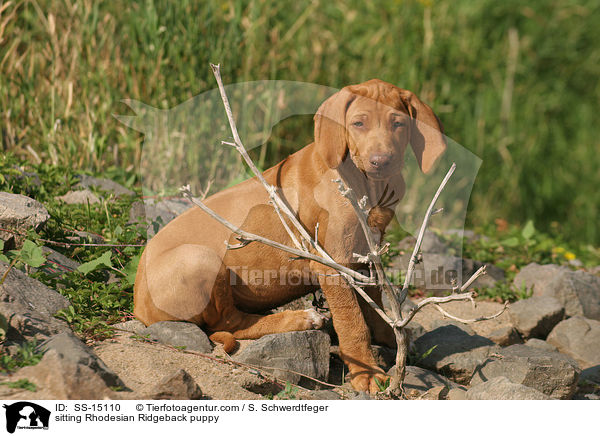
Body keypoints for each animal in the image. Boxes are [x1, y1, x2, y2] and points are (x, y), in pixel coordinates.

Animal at [135, 78, 446, 392]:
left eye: (399, 124)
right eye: (358, 123)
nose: (381, 161)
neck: (363, 184)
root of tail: (138, 305)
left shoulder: (367, 254)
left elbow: (375, 305)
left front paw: (391, 339)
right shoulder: (333, 263)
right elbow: (352, 321)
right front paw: (367, 372)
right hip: (202, 258)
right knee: (230, 323)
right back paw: (299, 319)